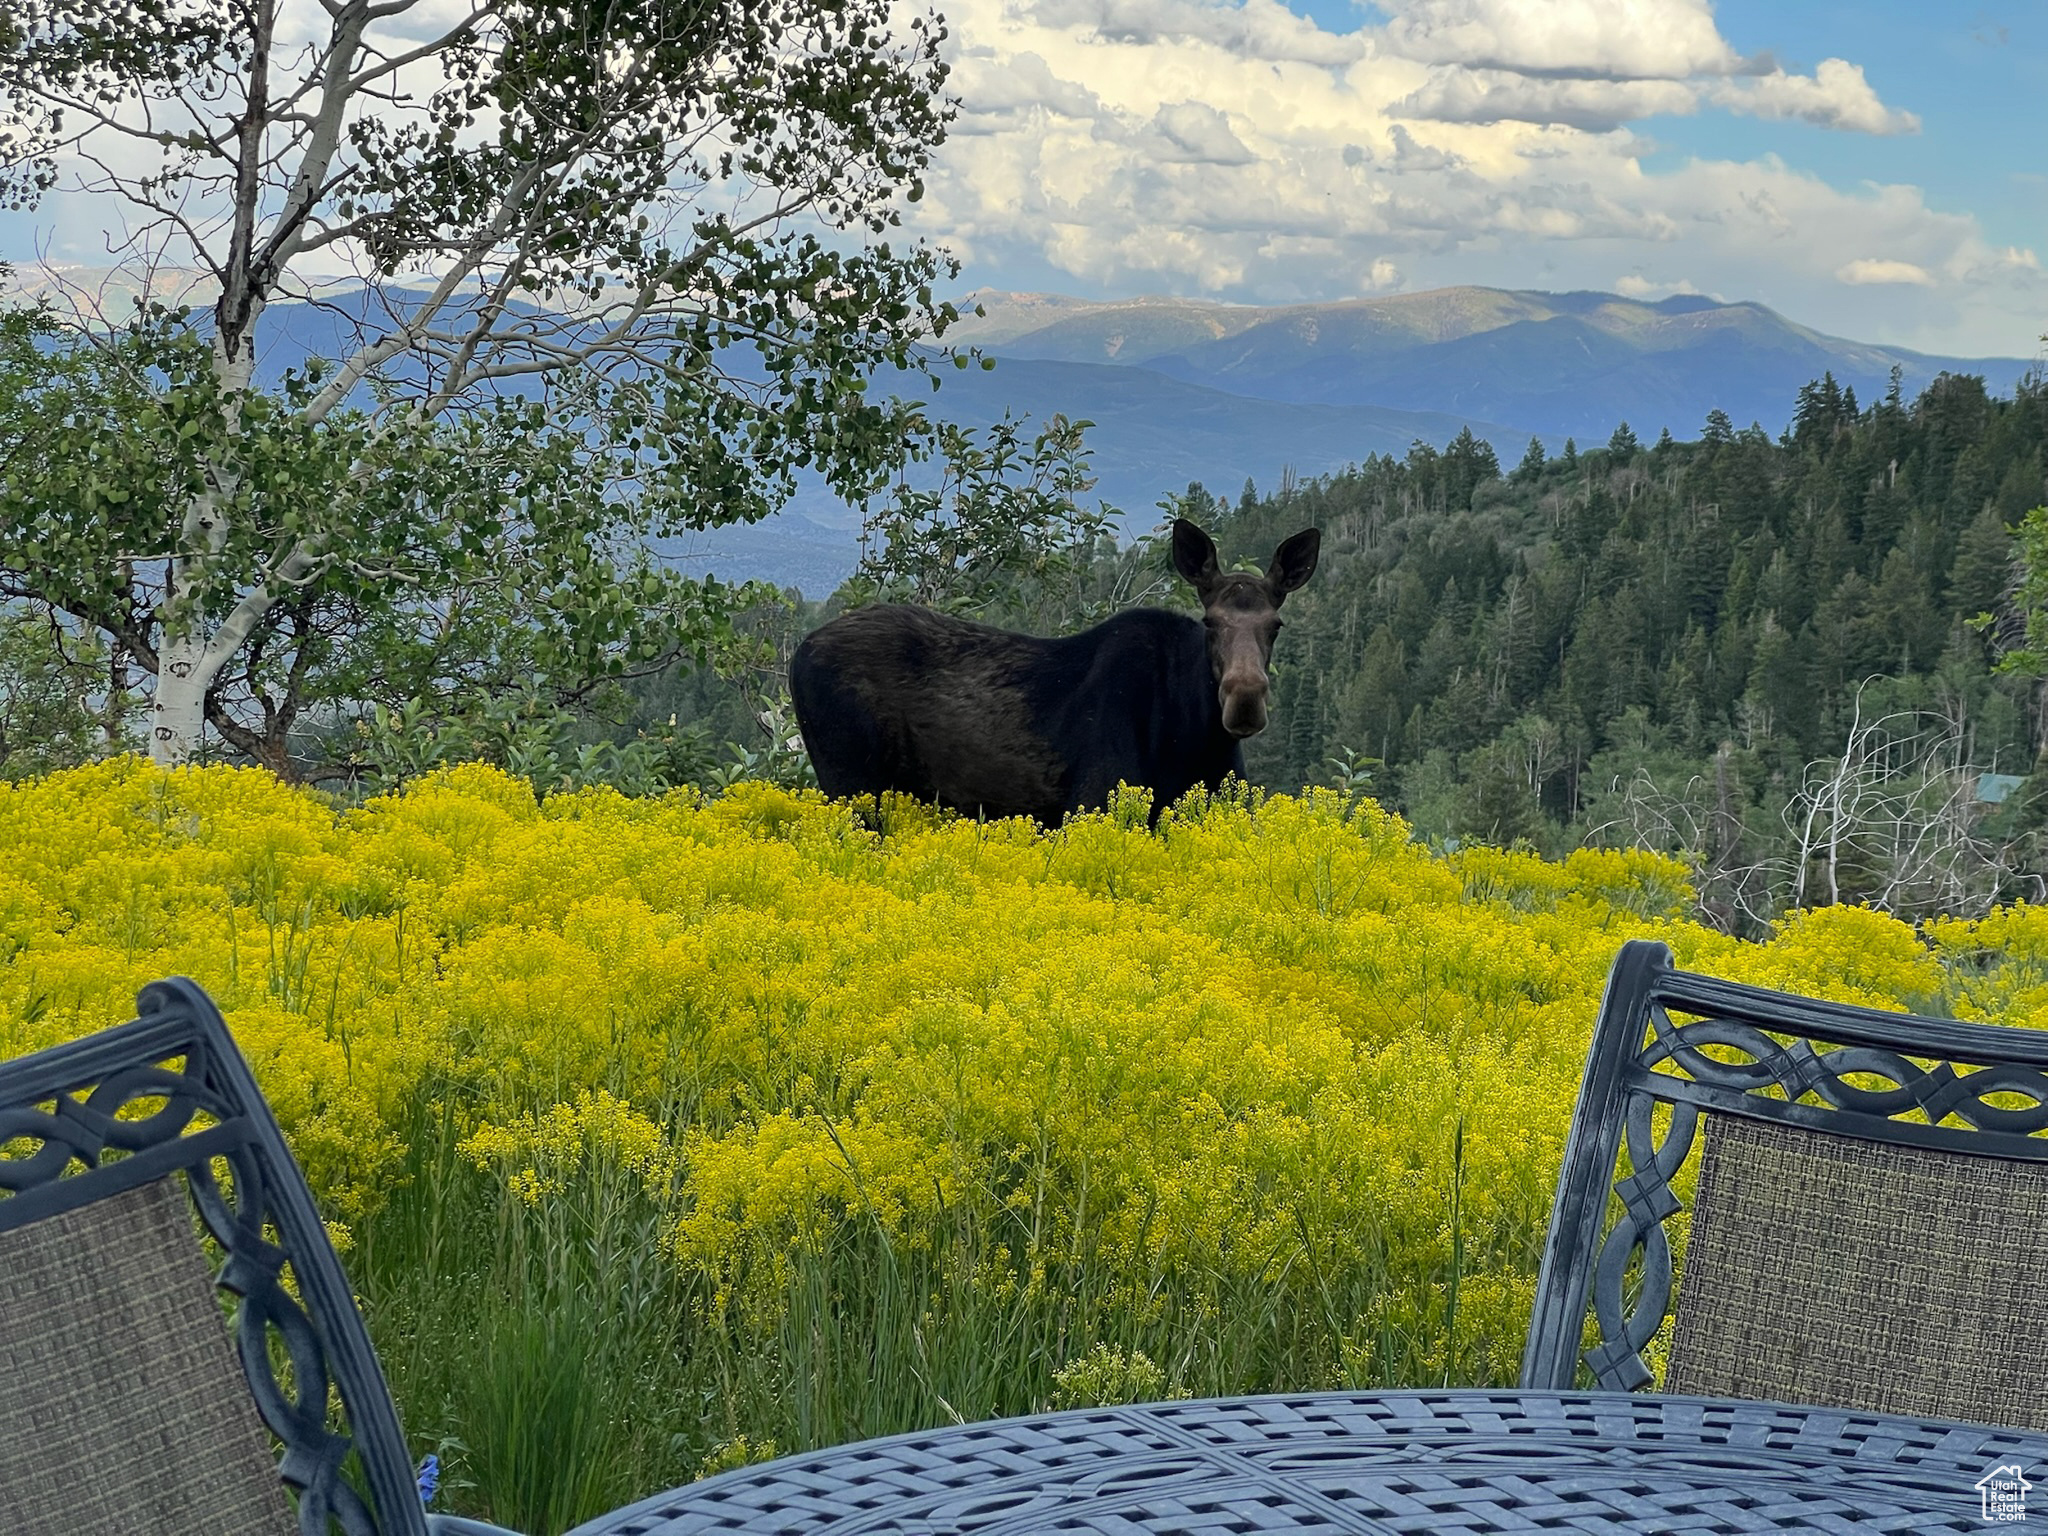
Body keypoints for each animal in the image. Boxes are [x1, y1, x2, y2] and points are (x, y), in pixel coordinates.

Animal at [782, 520, 1327, 831]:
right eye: (1210, 623)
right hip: (850, 782)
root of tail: (797, 653)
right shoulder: (1091, 804)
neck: (1195, 741)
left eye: (1275, 625)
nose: (1244, 700)